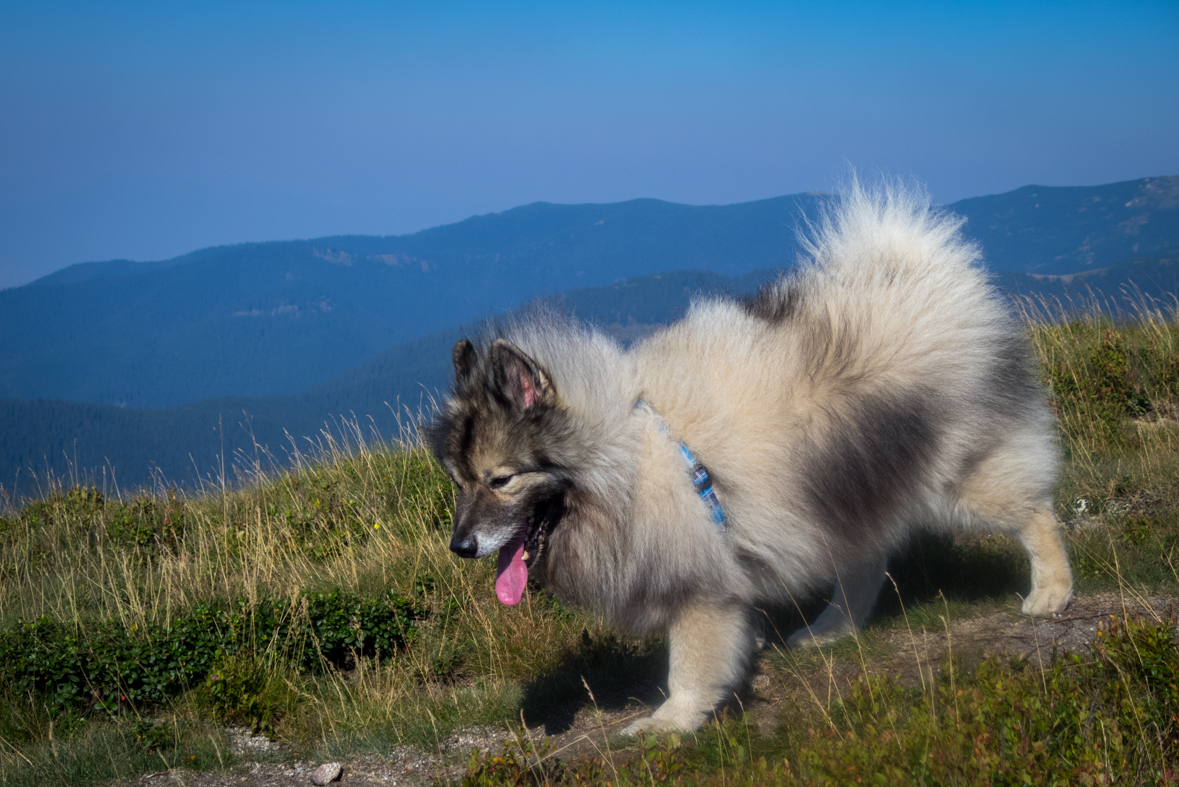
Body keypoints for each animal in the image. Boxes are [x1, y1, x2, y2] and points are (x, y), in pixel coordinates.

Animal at [429, 182, 1075, 730]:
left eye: (502, 480)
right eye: (460, 482)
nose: (460, 548)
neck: (626, 457)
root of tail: (921, 271)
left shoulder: (699, 588)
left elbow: (689, 663)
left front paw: (669, 724)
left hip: (956, 481)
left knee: (1034, 512)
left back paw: (1052, 592)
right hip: (840, 490)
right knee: (864, 562)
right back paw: (831, 629)